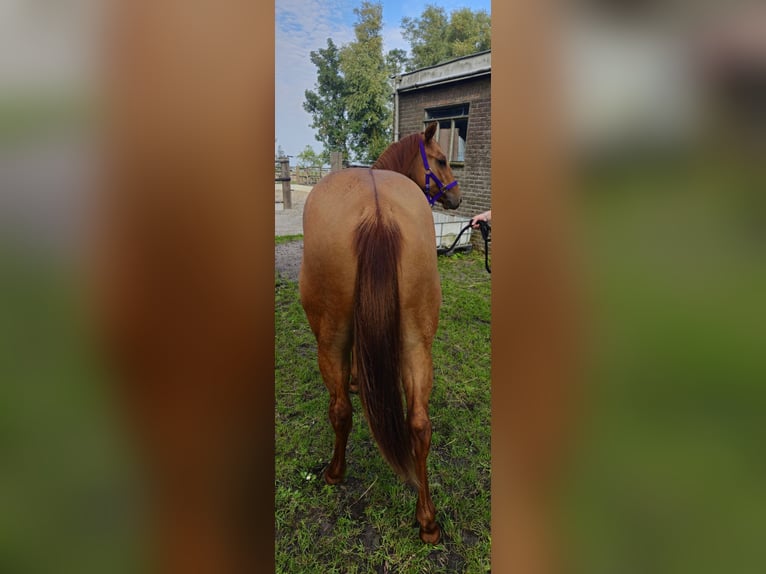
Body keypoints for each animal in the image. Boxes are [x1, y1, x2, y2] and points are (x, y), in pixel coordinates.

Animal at [298, 122, 461, 544]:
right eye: (441, 159)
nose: (455, 197)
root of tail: (376, 209)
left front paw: (357, 380)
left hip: (330, 337)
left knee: (340, 410)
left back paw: (334, 473)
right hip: (417, 344)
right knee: (419, 424)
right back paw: (427, 521)